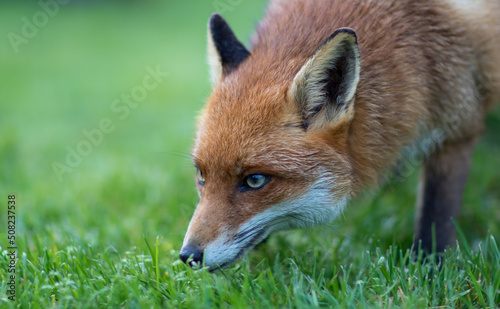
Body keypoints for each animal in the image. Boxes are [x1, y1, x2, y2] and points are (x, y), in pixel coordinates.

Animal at [179, 0, 500, 270]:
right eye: (201, 175)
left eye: (255, 180)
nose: (189, 256)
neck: (417, 42)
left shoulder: (457, 125)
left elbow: (435, 218)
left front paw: (430, 273)